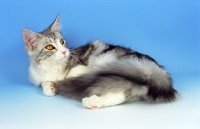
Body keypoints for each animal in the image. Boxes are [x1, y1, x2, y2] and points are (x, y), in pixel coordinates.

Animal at [22, 15, 177, 109]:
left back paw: (92, 100)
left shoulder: (81, 63)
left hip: (110, 62)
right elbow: (45, 85)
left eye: (62, 42)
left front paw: (61, 81)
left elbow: (72, 73)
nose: (64, 52)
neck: (52, 67)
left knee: (122, 91)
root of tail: (155, 69)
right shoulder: (38, 78)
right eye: (50, 47)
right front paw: (50, 87)